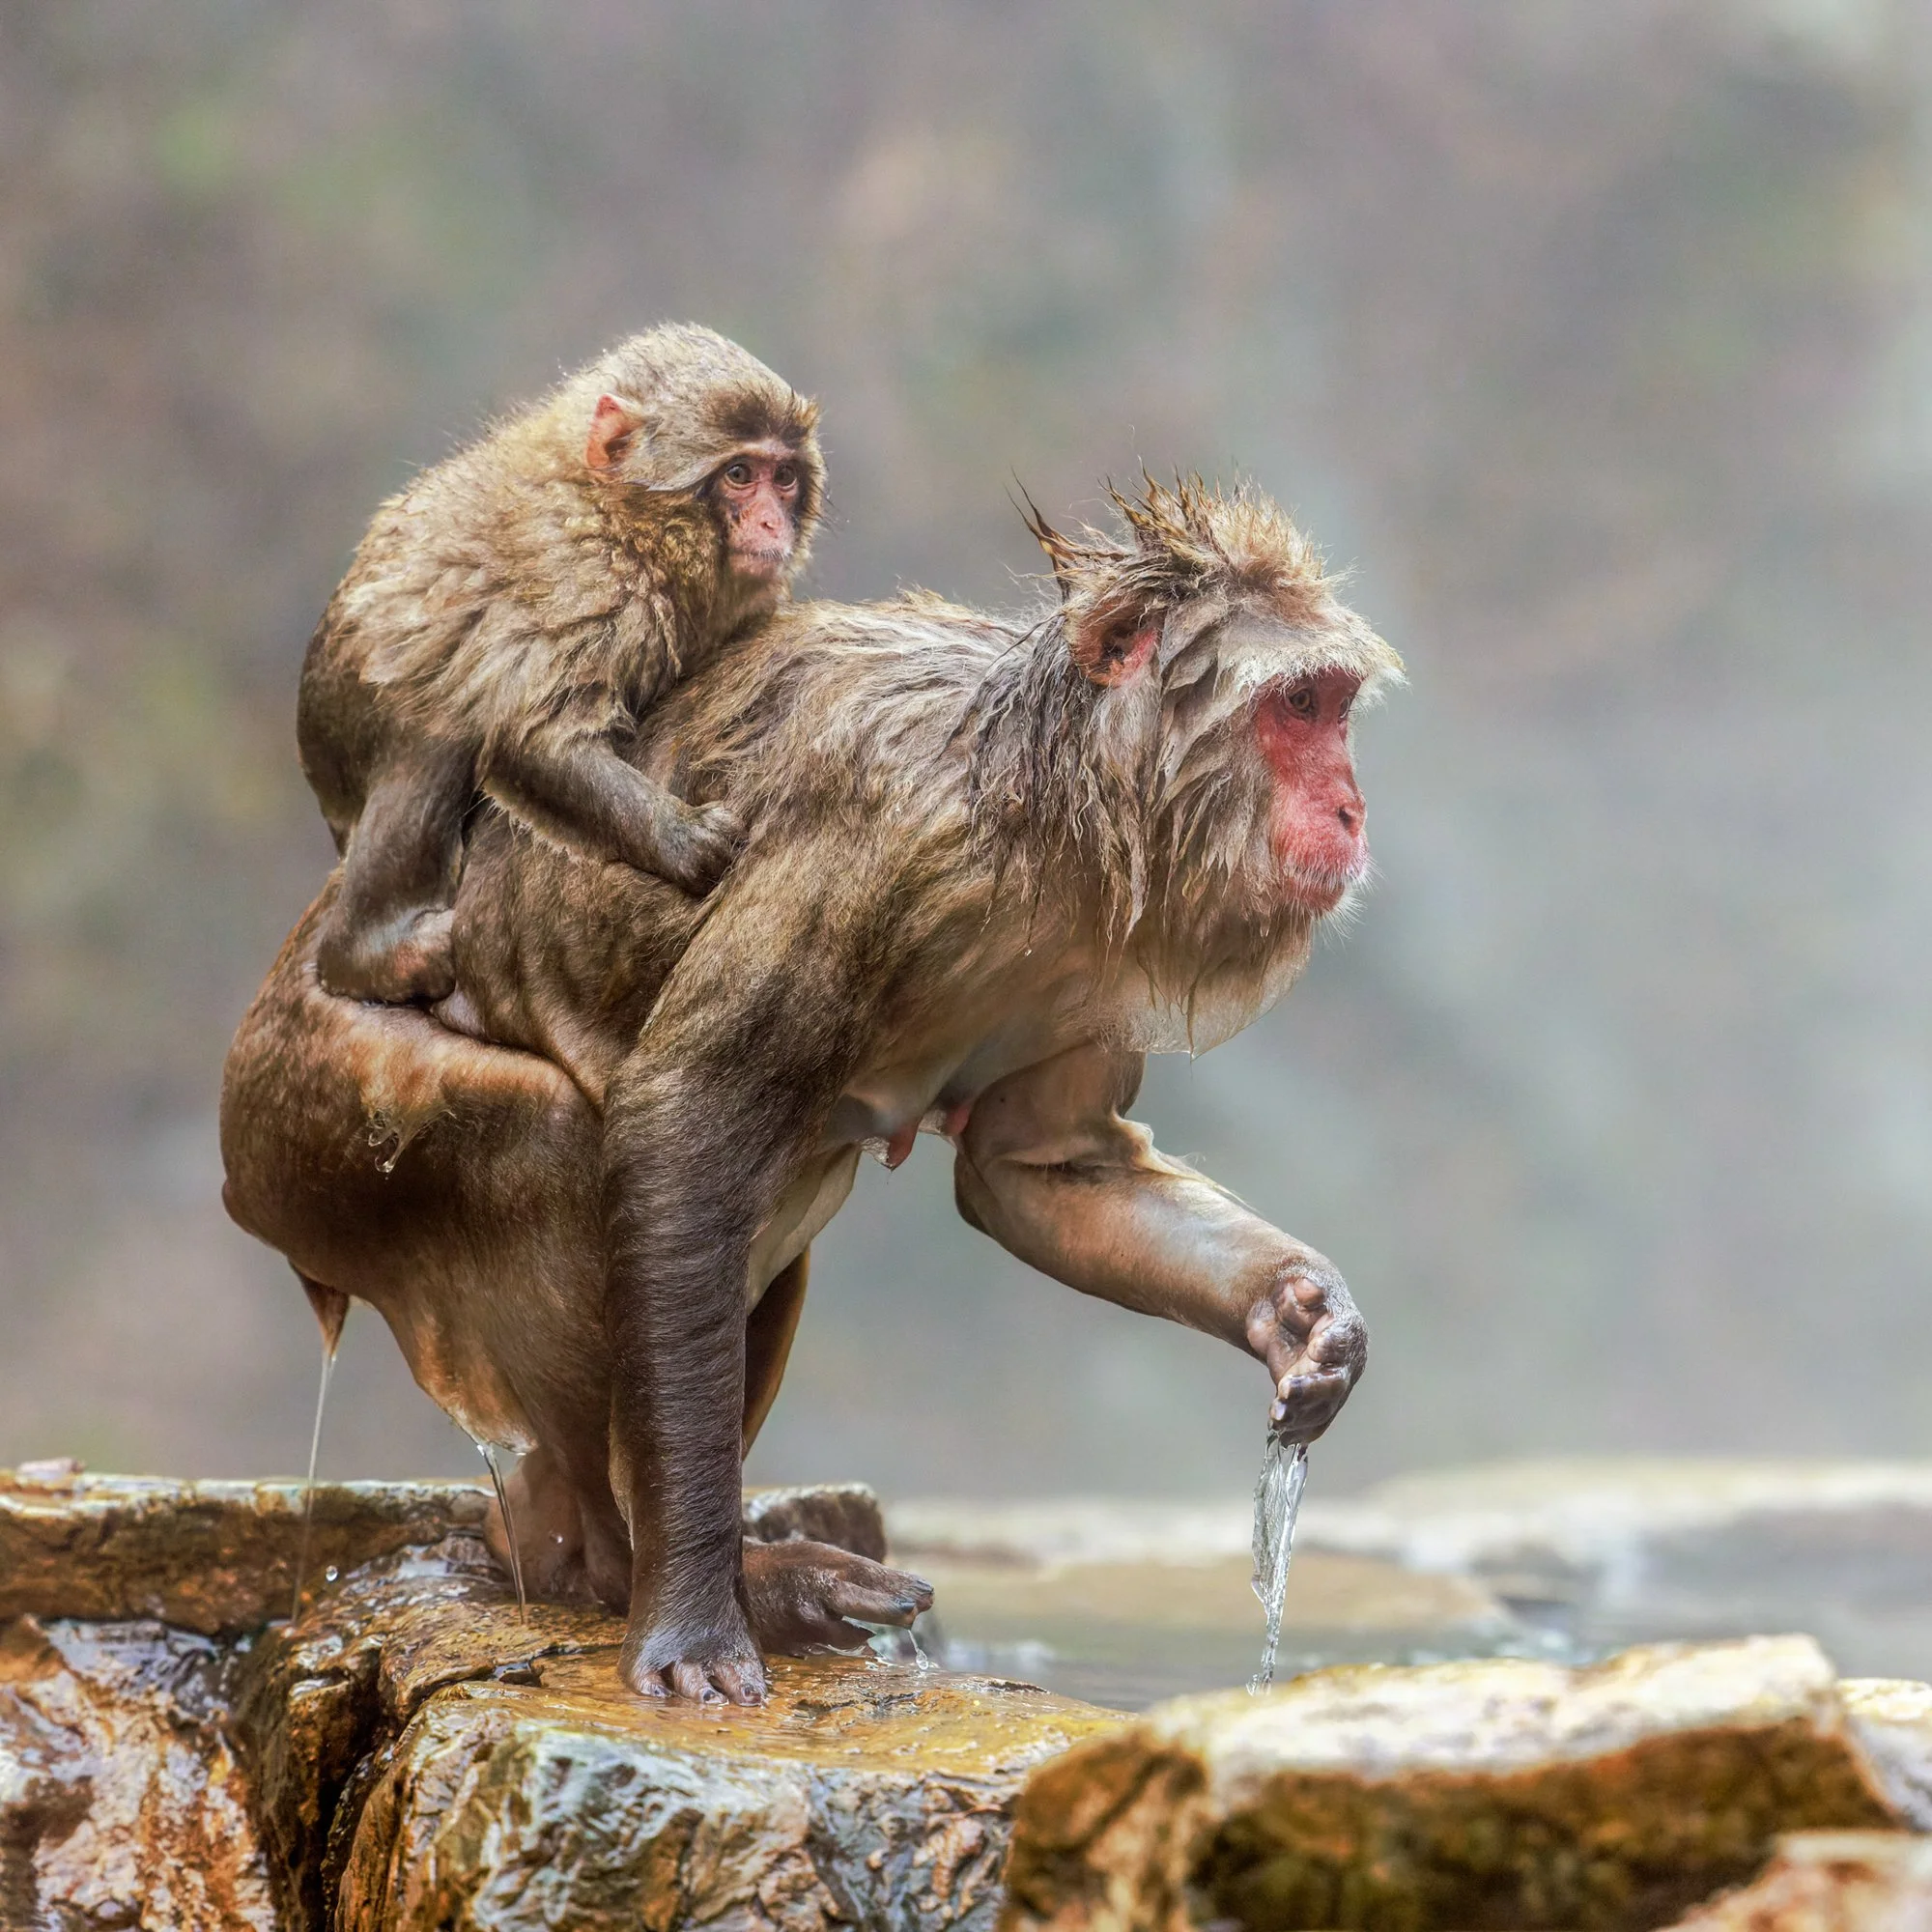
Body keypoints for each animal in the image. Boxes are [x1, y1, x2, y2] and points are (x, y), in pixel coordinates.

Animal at [222, 474, 1402, 1704]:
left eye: (1332, 706)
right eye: (1297, 706)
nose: (1349, 808)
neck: (1047, 805)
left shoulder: (1086, 955)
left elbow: (1039, 1170)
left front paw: (1300, 1313)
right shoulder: (873, 848)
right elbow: (681, 1123)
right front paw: (693, 1622)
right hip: (307, 1118)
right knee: (555, 1143)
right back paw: (625, 1567)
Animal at [296, 322, 824, 1005]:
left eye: (783, 477)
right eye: (739, 473)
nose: (770, 522)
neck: (627, 521)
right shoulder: (587, 580)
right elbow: (532, 737)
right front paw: (678, 837)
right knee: (439, 720)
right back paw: (368, 952)